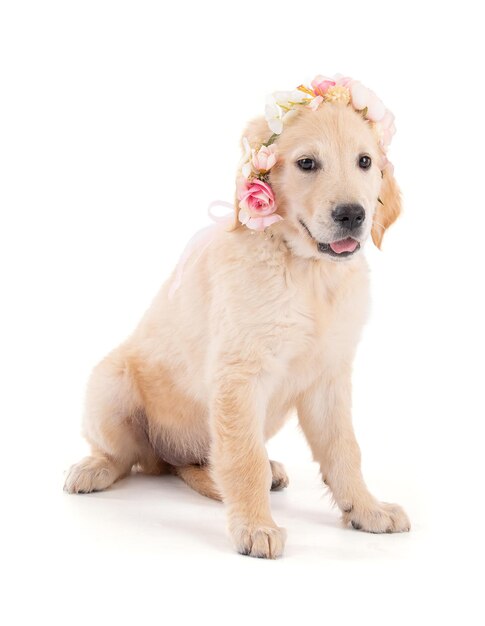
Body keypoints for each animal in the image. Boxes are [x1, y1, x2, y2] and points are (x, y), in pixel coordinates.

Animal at [65, 75, 408, 560]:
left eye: (365, 162)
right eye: (307, 163)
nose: (352, 214)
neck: (307, 271)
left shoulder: (329, 376)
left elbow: (344, 450)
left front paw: (365, 508)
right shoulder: (240, 375)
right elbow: (243, 458)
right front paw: (255, 526)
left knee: (192, 463)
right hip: (109, 382)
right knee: (129, 456)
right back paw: (94, 469)